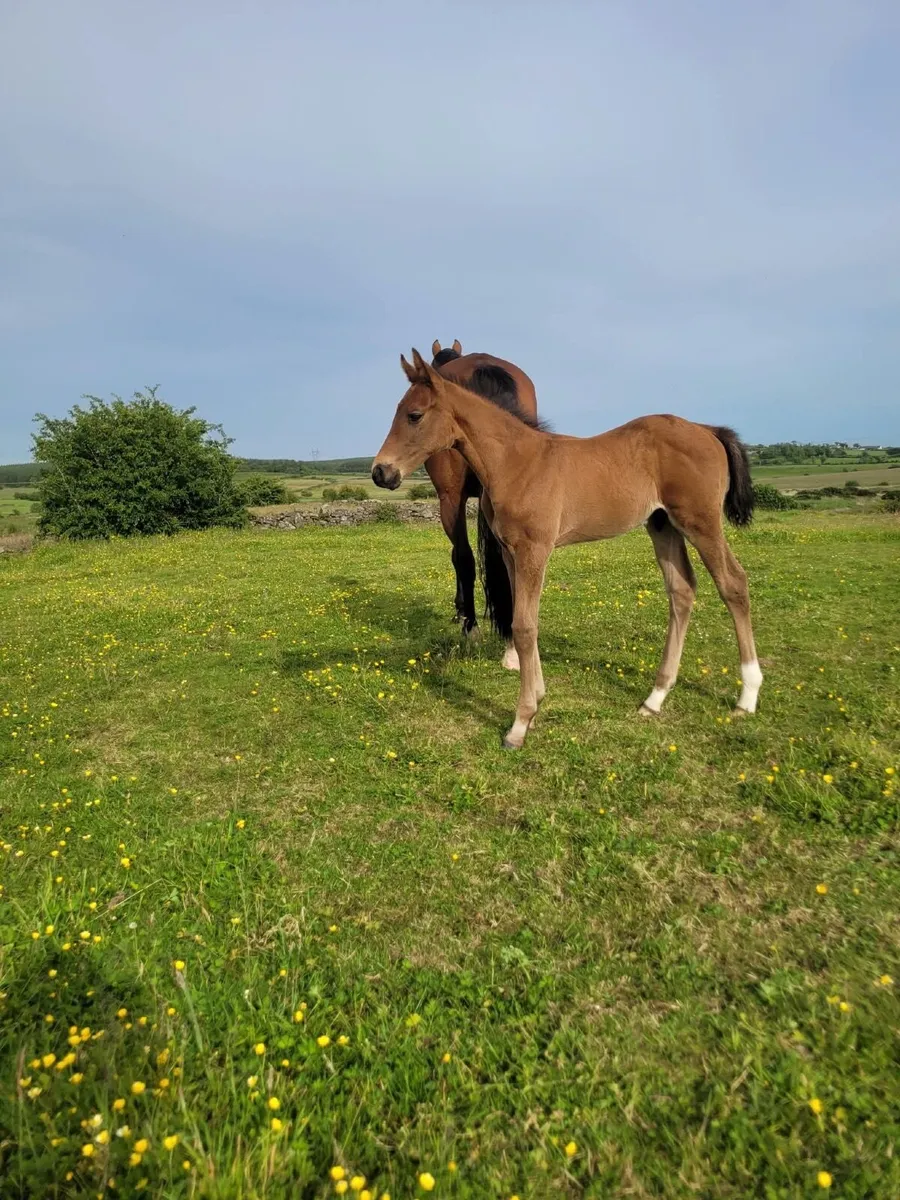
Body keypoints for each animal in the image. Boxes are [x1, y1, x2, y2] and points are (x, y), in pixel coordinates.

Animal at [423, 339, 538, 665]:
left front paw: (461, 611)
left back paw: (471, 627)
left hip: (450, 499)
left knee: (463, 556)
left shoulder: (452, 500)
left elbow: (457, 555)